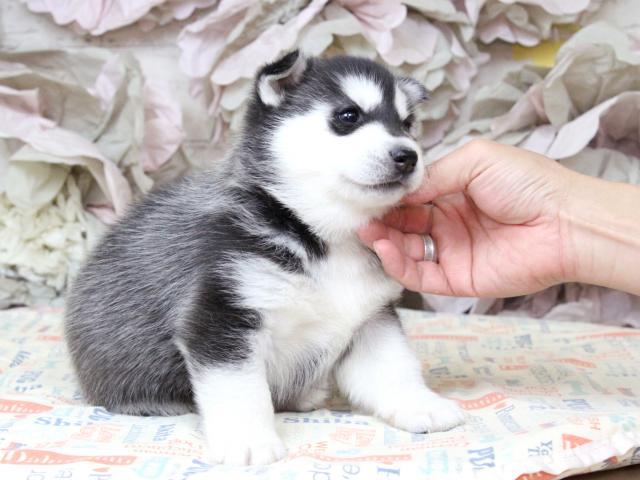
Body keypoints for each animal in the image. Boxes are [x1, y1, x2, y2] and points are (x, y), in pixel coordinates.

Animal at [65, 50, 465, 466]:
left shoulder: (370, 321)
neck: (326, 239)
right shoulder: (223, 317)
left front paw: (421, 404)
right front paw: (248, 440)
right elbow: (240, 391)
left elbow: (394, 368)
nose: (408, 156)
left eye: (407, 124)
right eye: (348, 115)